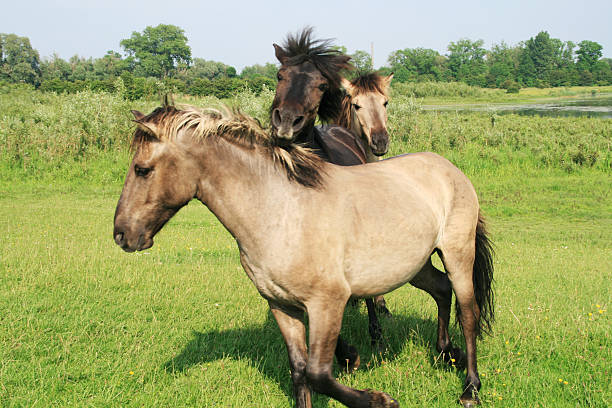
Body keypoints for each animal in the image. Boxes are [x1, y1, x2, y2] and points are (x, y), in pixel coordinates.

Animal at [115, 104, 494, 408]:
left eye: (142, 169)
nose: (121, 235)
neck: (281, 211)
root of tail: (449, 169)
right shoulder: (282, 306)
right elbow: (299, 371)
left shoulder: (328, 303)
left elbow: (319, 374)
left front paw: (379, 399)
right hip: (415, 265)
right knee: (441, 289)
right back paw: (446, 353)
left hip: (457, 254)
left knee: (468, 312)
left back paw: (470, 388)